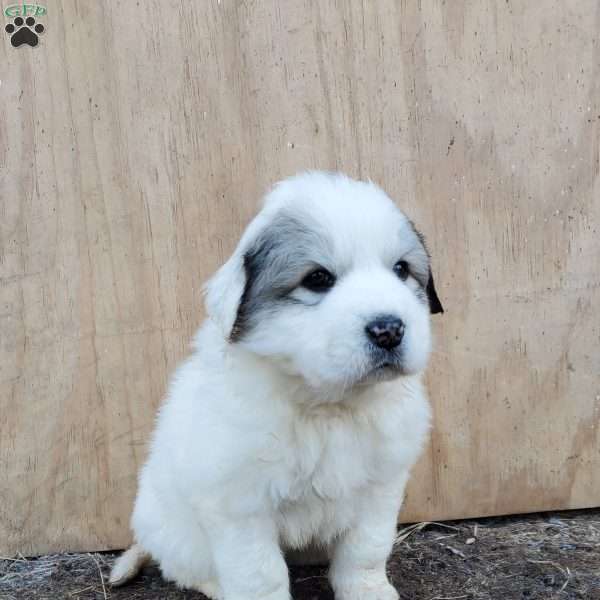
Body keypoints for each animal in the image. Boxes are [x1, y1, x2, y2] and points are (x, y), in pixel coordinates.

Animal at [110, 171, 442, 600]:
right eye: (317, 279)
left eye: (401, 269)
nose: (389, 329)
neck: (326, 406)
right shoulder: (241, 507)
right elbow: (260, 573)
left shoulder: (380, 487)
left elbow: (365, 550)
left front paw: (369, 592)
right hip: (173, 531)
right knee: (185, 568)